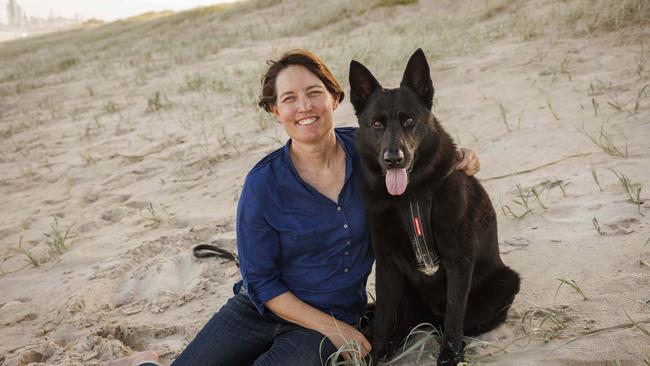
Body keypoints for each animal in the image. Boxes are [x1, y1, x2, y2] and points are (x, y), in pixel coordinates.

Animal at [346, 49, 520, 366]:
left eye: (409, 120)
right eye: (376, 124)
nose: (393, 159)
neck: (410, 197)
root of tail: (427, 318)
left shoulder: (458, 259)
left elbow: (454, 315)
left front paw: (450, 356)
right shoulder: (387, 264)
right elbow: (382, 320)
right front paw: (377, 353)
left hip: (506, 282)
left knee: (454, 321)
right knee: (398, 322)